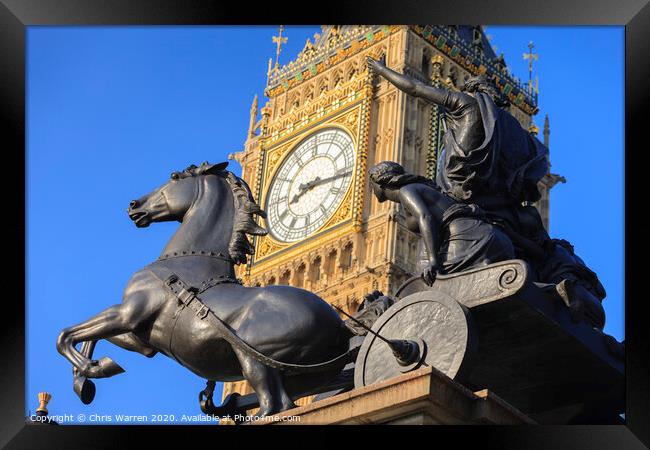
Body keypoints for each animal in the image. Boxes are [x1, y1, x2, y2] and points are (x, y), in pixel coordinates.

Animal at [55, 160, 350, 416]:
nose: (133, 205)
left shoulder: (129, 312)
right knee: (284, 403)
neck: (187, 259)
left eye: (174, 176)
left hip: (255, 356)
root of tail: (340, 325)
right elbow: (91, 338)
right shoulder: (142, 336)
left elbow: (66, 335)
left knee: (271, 404)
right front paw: (87, 378)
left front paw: (93, 370)